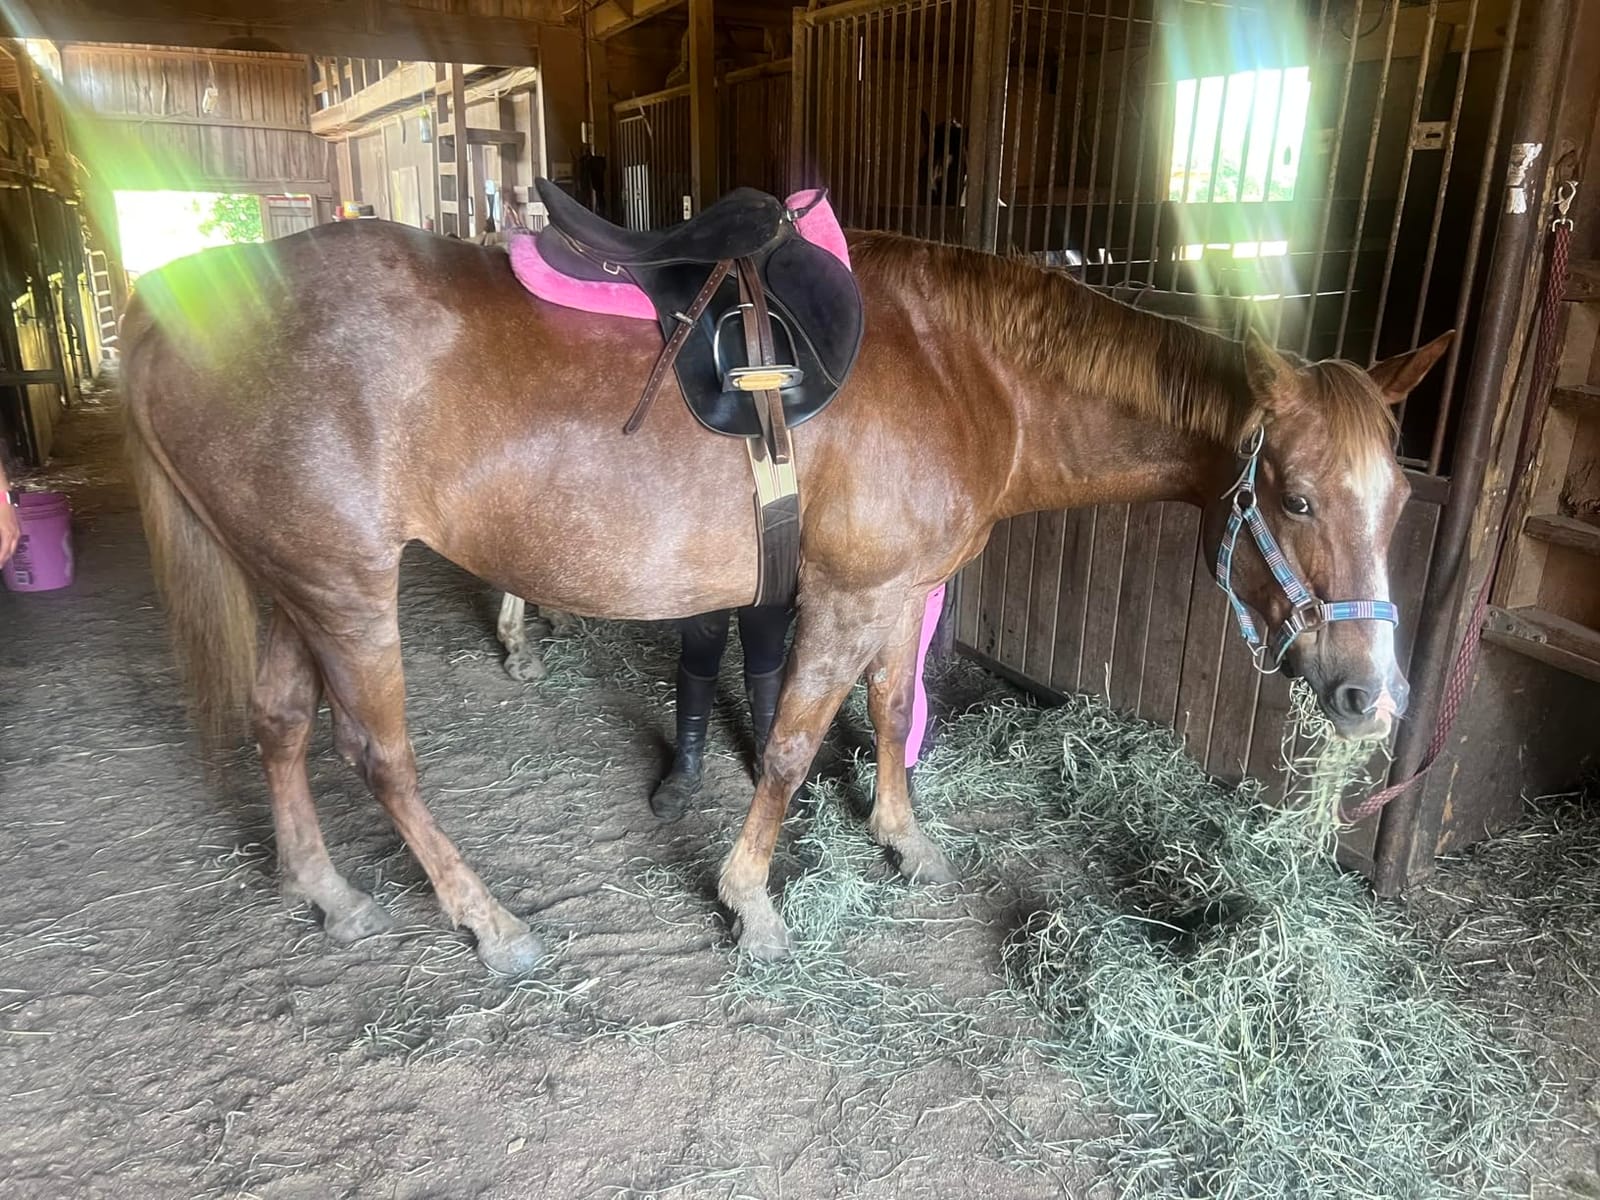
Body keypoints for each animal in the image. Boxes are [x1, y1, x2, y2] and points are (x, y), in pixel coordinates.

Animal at [121, 219, 1450, 970]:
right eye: (1293, 499)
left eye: (1395, 501)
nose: (1369, 697)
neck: (967, 368)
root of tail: (172, 303)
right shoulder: (849, 596)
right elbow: (797, 742)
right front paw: (750, 902)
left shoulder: (899, 591)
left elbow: (888, 710)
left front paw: (904, 841)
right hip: (345, 588)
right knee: (377, 754)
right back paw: (485, 922)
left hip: (289, 583)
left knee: (280, 723)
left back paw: (326, 892)